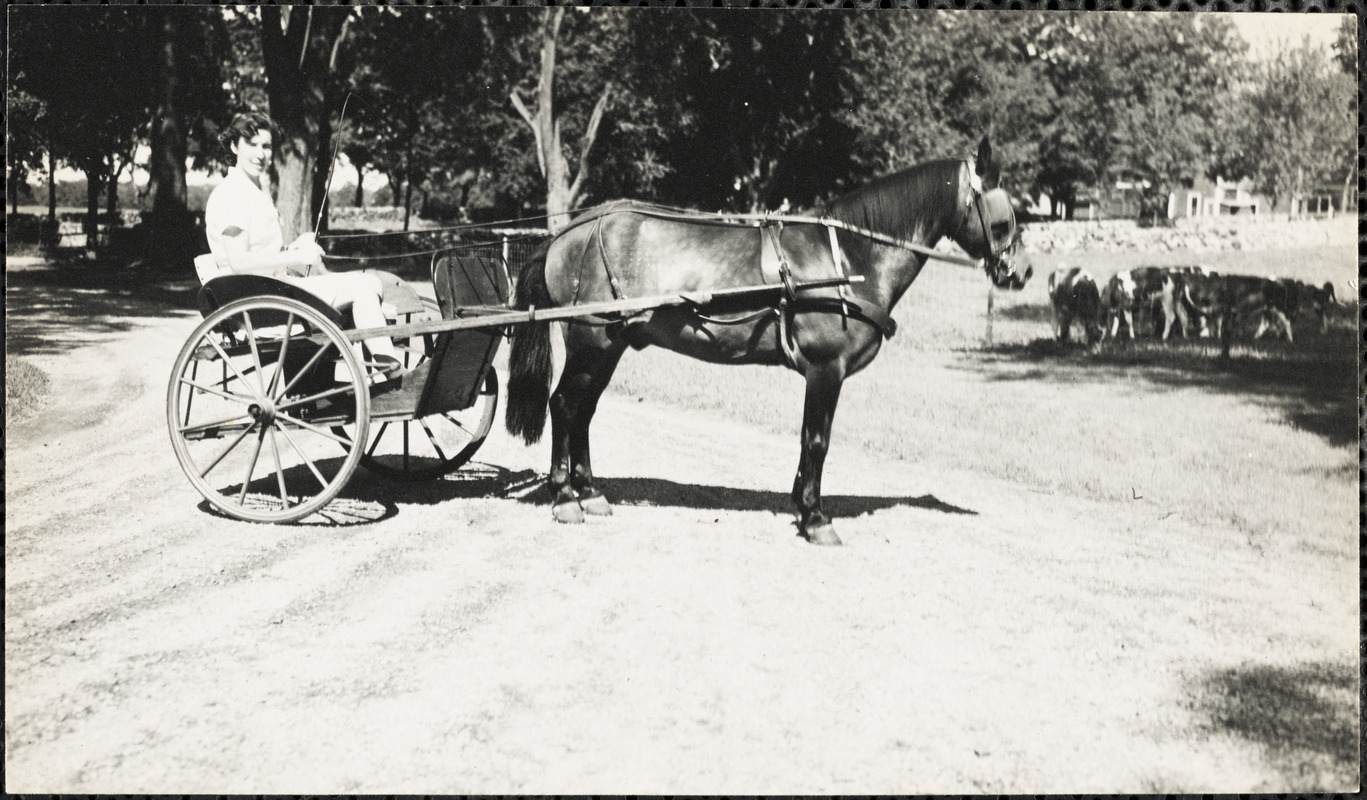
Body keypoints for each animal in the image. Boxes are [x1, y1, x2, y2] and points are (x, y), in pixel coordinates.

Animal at [503, 138, 1027, 549]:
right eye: (1004, 218)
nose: (1022, 271)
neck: (845, 258)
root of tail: (566, 234)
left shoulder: (824, 375)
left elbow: (810, 439)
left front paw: (801, 506)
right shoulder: (825, 370)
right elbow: (817, 440)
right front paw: (815, 518)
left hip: (610, 348)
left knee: (583, 410)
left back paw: (590, 492)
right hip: (590, 343)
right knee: (564, 405)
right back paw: (565, 497)